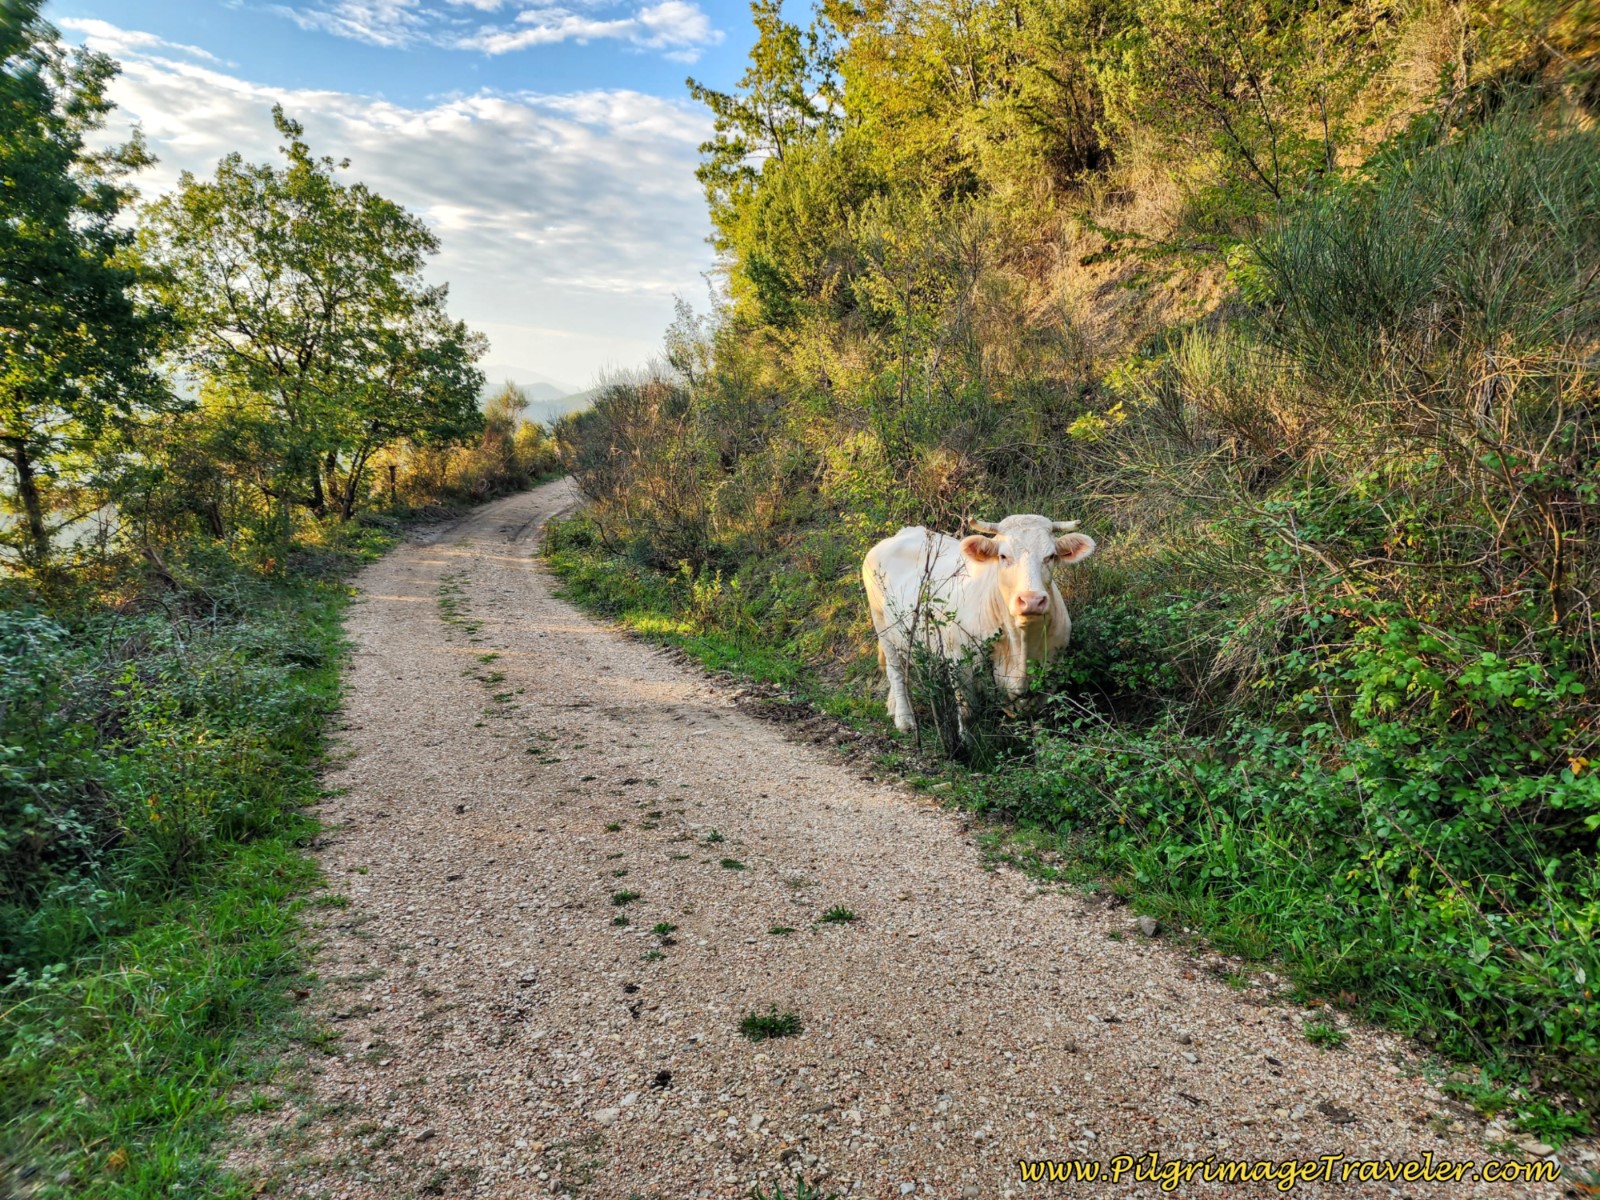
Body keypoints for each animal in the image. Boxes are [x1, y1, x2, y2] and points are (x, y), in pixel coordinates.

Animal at [861, 514, 1097, 732]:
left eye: (1051, 556)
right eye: (1003, 556)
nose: (1031, 600)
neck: (1021, 645)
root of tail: (905, 532)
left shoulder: (1053, 668)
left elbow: (1041, 720)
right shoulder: (959, 663)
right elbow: (967, 713)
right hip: (881, 623)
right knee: (895, 670)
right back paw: (904, 719)